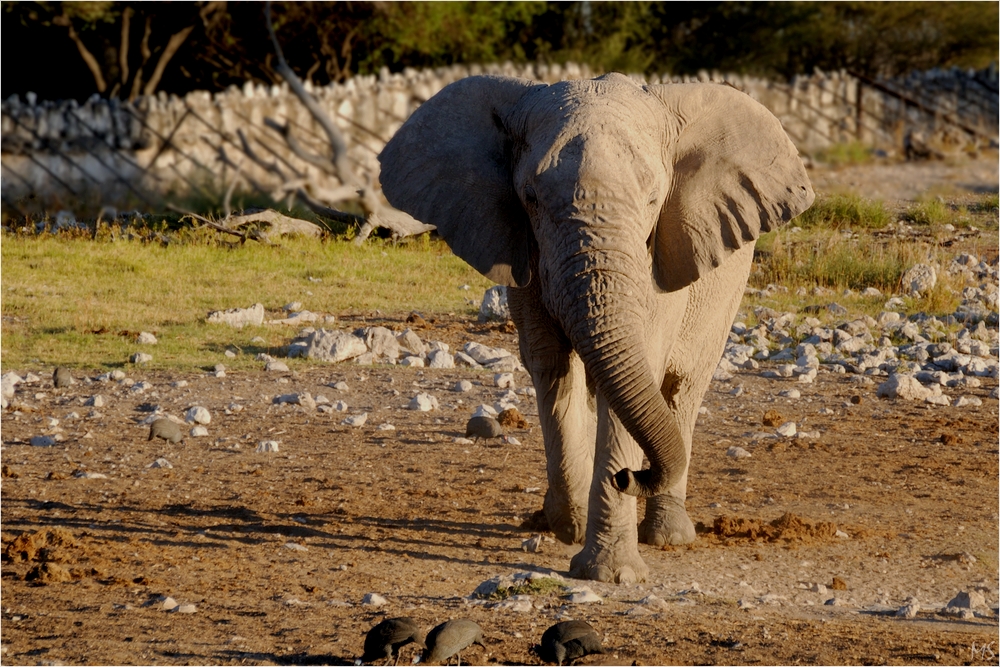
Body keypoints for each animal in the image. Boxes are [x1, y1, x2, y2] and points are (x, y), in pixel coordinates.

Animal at [376, 73, 812, 580]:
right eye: (529, 199)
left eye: (653, 199)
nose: (630, 477)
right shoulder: (525, 258)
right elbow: (551, 368)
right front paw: (570, 529)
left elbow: (633, 376)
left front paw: (609, 572)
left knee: (683, 389)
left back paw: (668, 536)